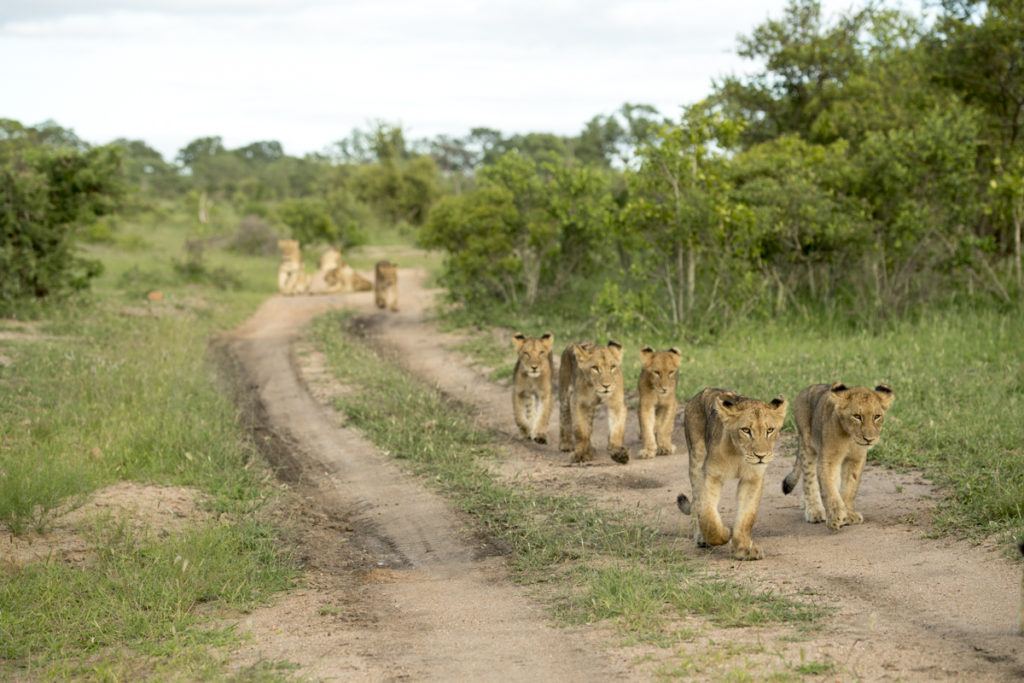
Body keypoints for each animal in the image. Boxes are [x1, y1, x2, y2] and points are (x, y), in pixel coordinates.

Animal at [679, 389, 790, 561]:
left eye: (770, 430)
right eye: (746, 430)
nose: (761, 456)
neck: (739, 455)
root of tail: (700, 393)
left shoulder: (752, 479)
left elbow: (747, 516)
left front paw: (743, 550)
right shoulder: (712, 476)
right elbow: (708, 514)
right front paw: (725, 533)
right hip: (696, 459)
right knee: (696, 502)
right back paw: (701, 538)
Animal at [782, 382, 897, 532]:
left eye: (877, 416)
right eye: (857, 416)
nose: (869, 439)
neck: (850, 437)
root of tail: (807, 389)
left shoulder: (856, 459)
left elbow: (849, 488)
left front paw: (848, 515)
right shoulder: (828, 459)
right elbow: (829, 489)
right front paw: (835, 516)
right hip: (807, 447)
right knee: (809, 480)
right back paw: (814, 510)